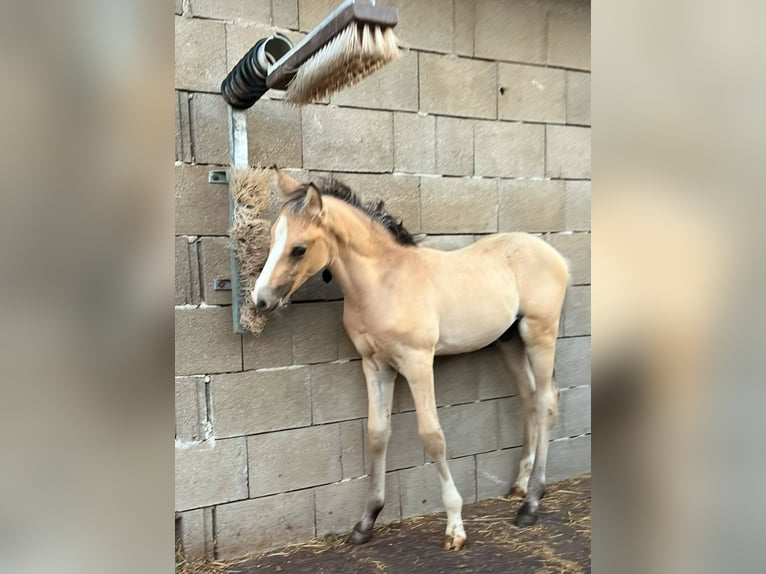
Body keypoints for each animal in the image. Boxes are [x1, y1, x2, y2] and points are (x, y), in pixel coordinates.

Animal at [252, 172, 568, 552]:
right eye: (272, 238)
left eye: (298, 248)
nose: (259, 300)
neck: (384, 282)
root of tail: (555, 255)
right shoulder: (375, 365)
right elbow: (377, 433)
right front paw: (366, 522)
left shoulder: (418, 362)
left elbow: (432, 436)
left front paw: (455, 527)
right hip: (509, 341)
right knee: (529, 399)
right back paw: (520, 486)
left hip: (540, 334)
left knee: (546, 402)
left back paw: (531, 503)